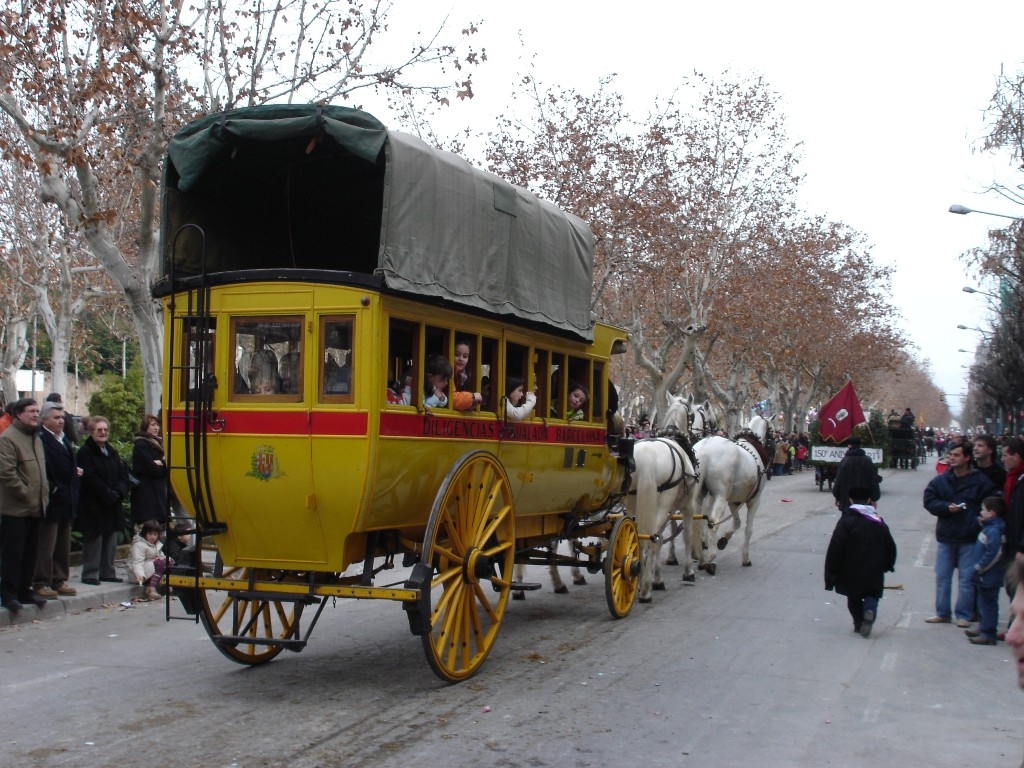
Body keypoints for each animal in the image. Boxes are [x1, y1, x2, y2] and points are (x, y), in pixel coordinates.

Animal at [688, 417, 770, 573]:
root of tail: (705, 449)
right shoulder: (755, 500)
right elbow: (748, 529)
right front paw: (746, 558)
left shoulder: (734, 501)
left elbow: (737, 523)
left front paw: (723, 540)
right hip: (720, 496)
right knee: (713, 521)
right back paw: (711, 560)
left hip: (702, 493)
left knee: (697, 520)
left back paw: (701, 555)